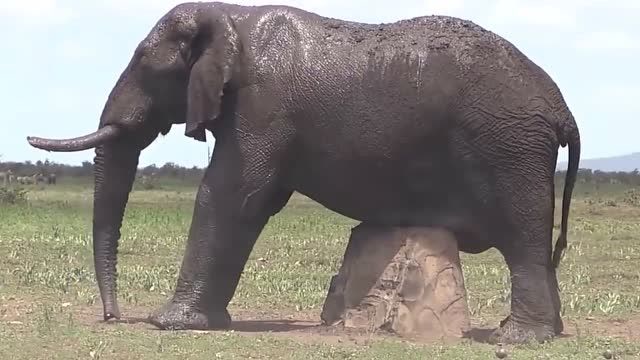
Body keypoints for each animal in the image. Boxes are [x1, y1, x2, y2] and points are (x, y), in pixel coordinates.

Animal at [23, 1, 580, 344]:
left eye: (144, 63)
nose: (112, 316)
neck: (232, 18)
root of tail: (562, 110)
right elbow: (247, 201)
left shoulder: (262, 107)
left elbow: (232, 195)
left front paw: (170, 325)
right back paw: (539, 332)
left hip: (511, 147)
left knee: (523, 238)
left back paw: (516, 338)